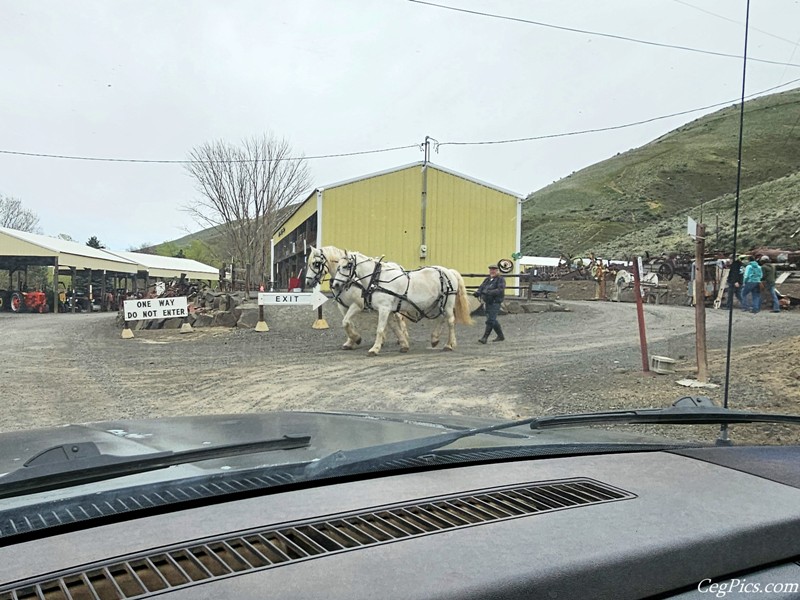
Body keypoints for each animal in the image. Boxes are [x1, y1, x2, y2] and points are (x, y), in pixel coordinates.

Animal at [332, 251, 476, 354]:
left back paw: (449, 345)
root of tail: (448, 271)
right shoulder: (387, 310)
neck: (378, 279)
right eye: (337, 266)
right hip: (436, 303)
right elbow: (394, 328)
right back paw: (435, 339)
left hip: (448, 303)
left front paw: (374, 349)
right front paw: (404, 345)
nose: (336, 285)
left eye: (346, 266)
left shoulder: (384, 309)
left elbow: (380, 329)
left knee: (450, 321)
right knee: (441, 318)